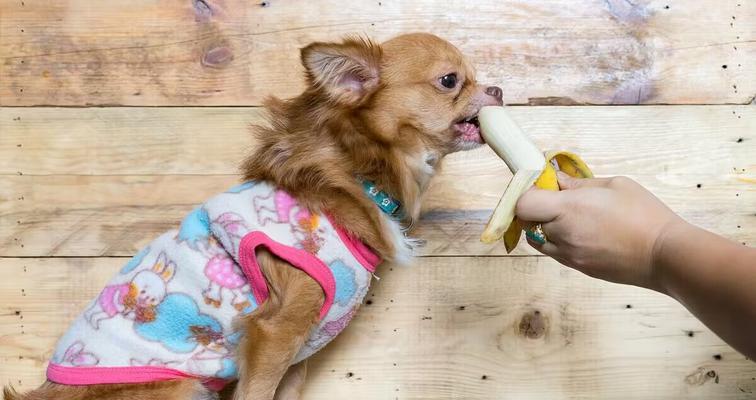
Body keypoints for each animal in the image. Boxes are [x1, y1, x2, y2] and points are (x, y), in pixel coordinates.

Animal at [5, 32, 504, 400]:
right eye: (450, 80)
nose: (498, 89)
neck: (353, 173)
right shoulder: (275, 333)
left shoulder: (297, 354)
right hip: (180, 389)